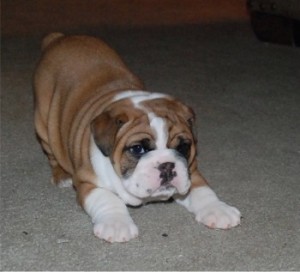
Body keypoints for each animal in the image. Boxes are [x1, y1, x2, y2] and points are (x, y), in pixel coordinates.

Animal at [33, 33, 241, 243]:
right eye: (138, 149)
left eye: (182, 147)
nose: (167, 165)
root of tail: (60, 37)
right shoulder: (87, 182)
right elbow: (107, 198)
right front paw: (116, 224)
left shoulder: (190, 171)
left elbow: (202, 189)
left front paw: (218, 209)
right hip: (43, 123)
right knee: (52, 153)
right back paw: (62, 176)